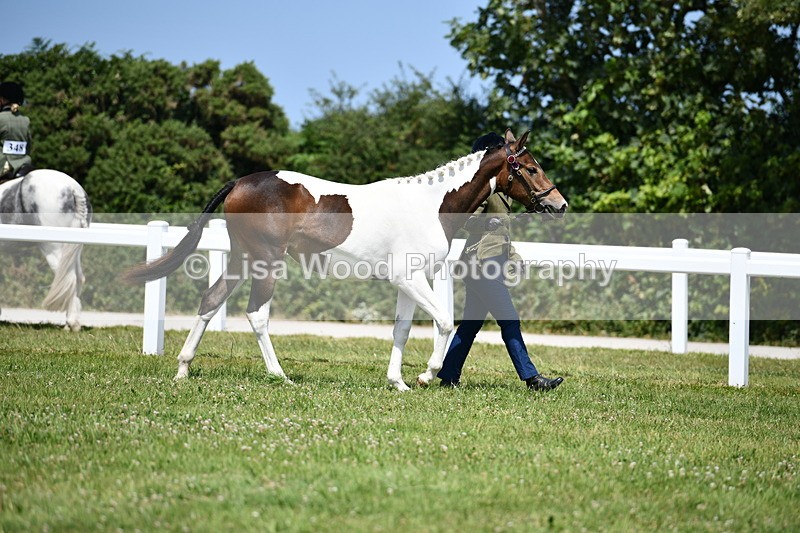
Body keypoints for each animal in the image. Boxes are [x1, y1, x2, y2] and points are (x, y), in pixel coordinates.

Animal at [0, 169, 92, 331]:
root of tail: (73, 189)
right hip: (74, 249)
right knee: (78, 278)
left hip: (52, 247)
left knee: (69, 278)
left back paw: (72, 324)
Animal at [124, 129, 568, 390]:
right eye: (530, 167)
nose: (559, 205)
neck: (430, 205)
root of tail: (239, 182)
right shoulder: (410, 280)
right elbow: (443, 322)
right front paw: (426, 375)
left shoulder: (408, 282)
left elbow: (401, 330)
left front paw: (398, 383)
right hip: (266, 263)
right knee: (256, 314)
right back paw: (280, 375)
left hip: (240, 259)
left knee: (212, 300)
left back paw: (183, 368)